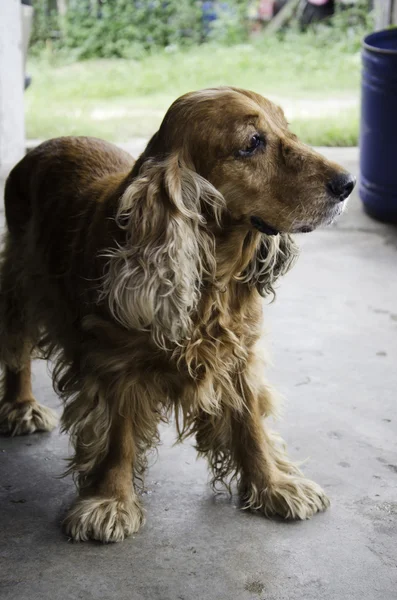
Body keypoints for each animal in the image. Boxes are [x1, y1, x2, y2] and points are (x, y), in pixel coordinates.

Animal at [0, 86, 352, 540]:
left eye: (287, 129)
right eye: (252, 143)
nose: (349, 184)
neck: (213, 278)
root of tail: (43, 146)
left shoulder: (239, 356)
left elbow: (251, 426)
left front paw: (274, 485)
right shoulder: (115, 364)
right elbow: (118, 437)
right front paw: (110, 502)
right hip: (22, 280)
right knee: (17, 350)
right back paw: (21, 406)